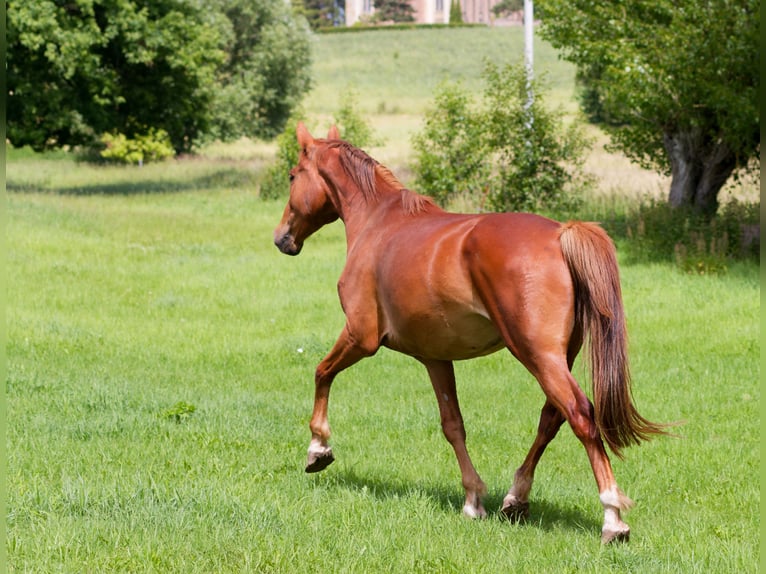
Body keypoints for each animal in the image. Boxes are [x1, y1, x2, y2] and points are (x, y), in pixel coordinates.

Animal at [274, 124, 664, 548]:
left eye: (293, 175)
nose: (282, 238)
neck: (379, 223)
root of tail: (561, 234)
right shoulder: (435, 357)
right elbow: (453, 424)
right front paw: (473, 498)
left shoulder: (361, 337)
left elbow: (321, 372)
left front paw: (318, 449)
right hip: (560, 357)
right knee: (551, 418)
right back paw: (515, 498)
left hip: (537, 355)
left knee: (579, 415)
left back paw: (612, 518)